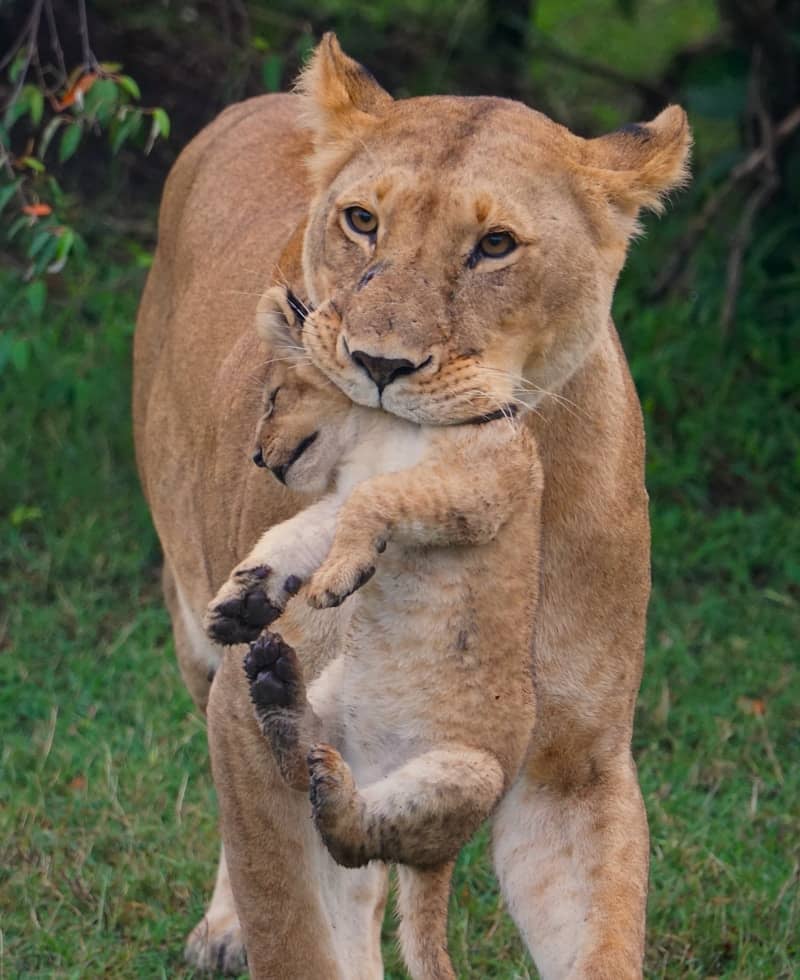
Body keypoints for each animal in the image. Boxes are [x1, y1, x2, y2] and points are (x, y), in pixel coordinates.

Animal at [204, 285, 542, 978]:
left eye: (273, 397)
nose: (256, 456)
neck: (382, 430)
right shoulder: (336, 505)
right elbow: (290, 538)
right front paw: (240, 606)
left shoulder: (472, 488)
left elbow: (370, 504)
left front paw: (334, 582)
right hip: (334, 695)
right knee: (301, 766)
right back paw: (277, 692)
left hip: (468, 773)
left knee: (362, 840)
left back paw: (338, 798)